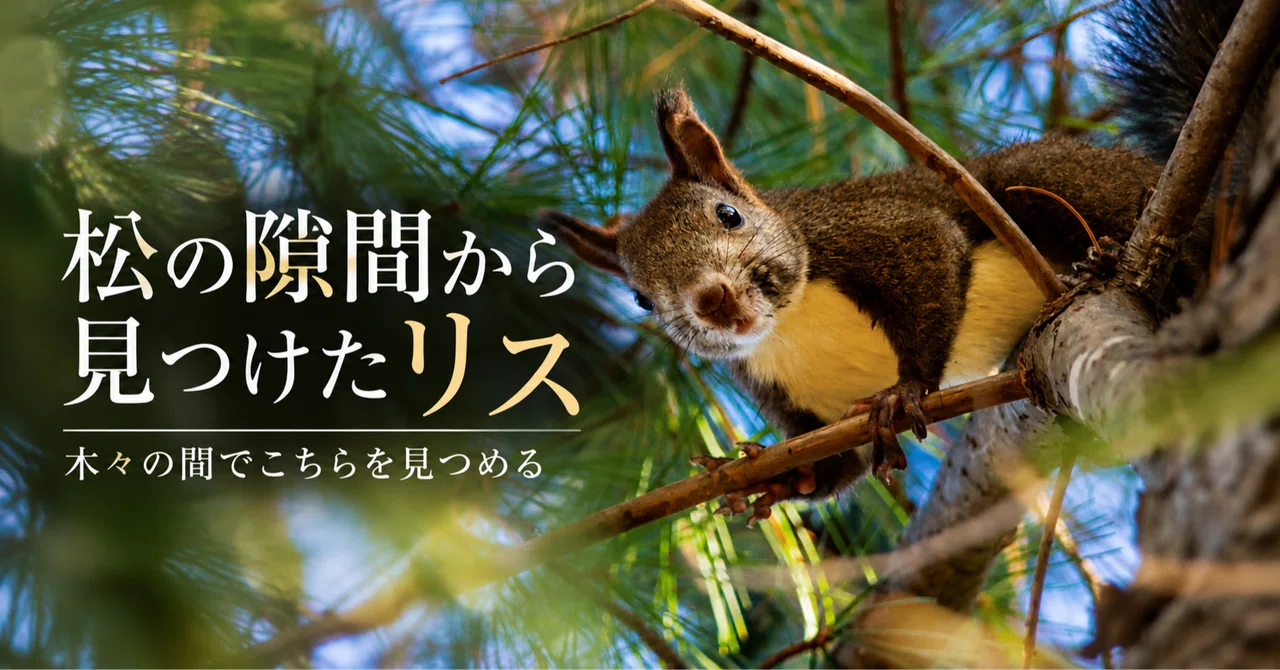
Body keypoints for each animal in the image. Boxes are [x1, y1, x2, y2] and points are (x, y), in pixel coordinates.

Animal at [540, 0, 1279, 523]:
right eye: (641, 297)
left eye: (729, 216)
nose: (712, 301)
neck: (792, 324)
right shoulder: (782, 390)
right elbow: (831, 458)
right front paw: (778, 476)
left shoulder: (873, 232)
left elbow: (931, 261)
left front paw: (905, 391)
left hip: (1054, 183)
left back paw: (1124, 266)